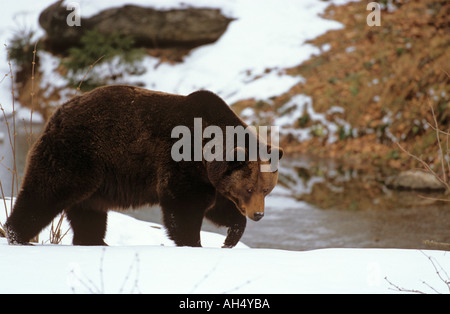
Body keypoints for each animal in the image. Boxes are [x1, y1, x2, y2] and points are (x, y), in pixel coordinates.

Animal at [4, 86, 282, 248]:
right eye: (249, 189)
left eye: (266, 190)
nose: (259, 214)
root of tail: (57, 114)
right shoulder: (182, 162)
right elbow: (184, 205)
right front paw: (192, 242)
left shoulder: (212, 179)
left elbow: (219, 207)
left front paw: (230, 238)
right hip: (79, 153)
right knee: (46, 192)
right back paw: (16, 235)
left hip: (95, 176)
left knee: (88, 210)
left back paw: (94, 241)